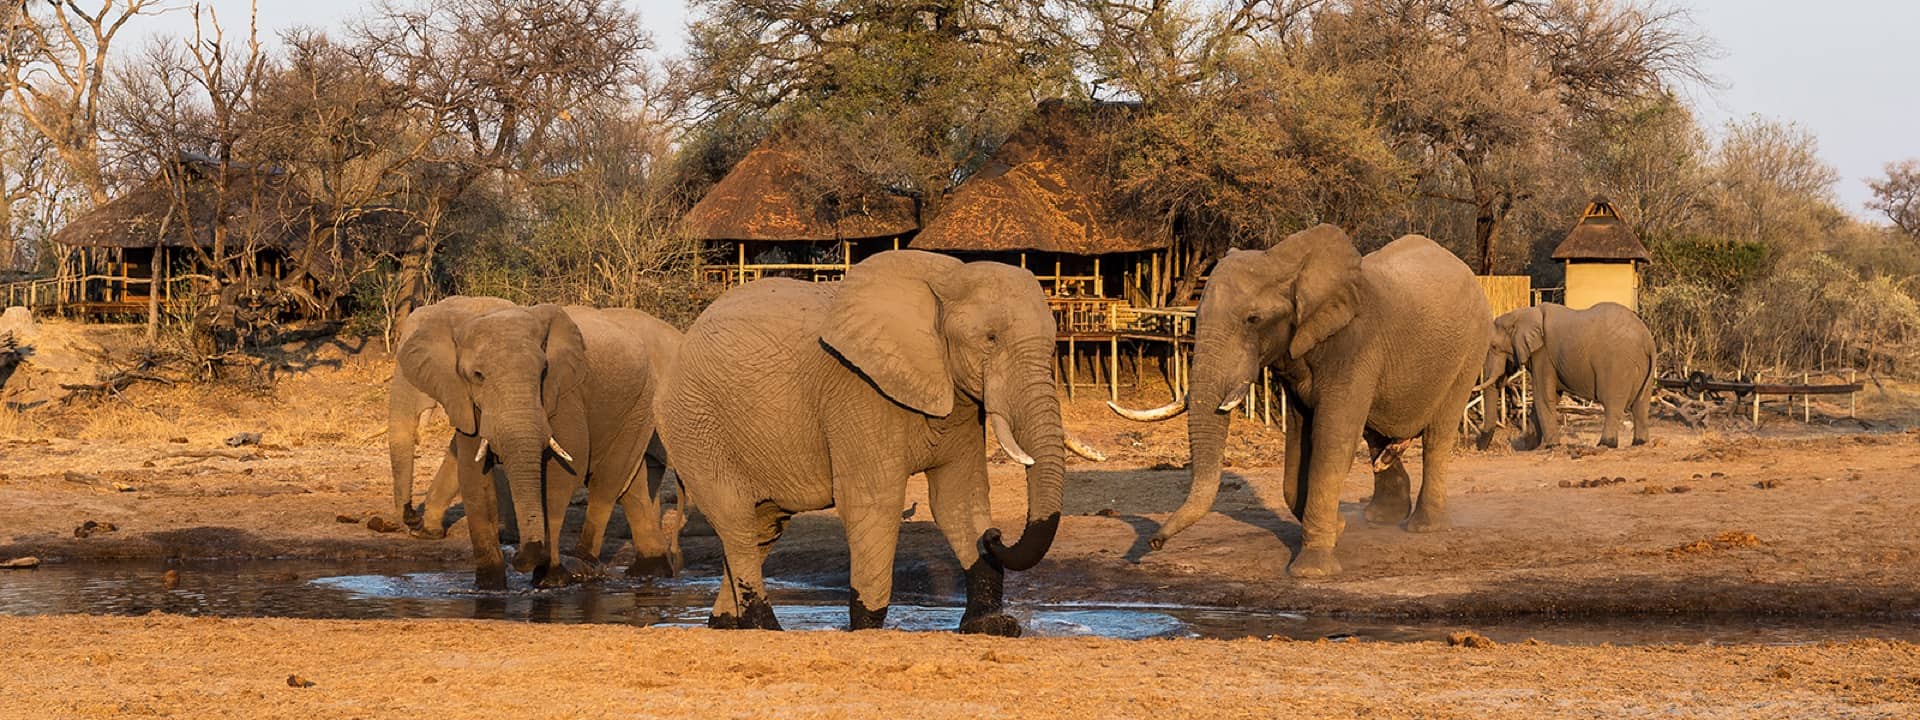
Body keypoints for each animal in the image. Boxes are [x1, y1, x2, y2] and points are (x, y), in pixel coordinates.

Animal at [390, 298, 688, 588]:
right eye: (477, 375)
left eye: (543, 371)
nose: (410, 517)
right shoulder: (467, 400)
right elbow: (472, 476)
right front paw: (489, 587)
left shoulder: (565, 394)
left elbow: (562, 474)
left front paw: (550, 579)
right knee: (632, 486)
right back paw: (649, 571)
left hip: (641, 403)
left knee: (607, 482)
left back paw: (585, 565)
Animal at [655, 250, 1104, 635]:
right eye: (990, 339)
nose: (996, 536)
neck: (946, 279)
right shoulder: (858, 389)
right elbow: (875, 501)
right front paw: (866, 627)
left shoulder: (956, 397)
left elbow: (958, 497)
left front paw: (993, 626)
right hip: (693, 423)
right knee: (737, 522)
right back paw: (766, 626)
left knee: (764, 527)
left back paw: (726, 625)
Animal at [1110, 225, 1491, 578]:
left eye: (1253, 319)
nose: (1154, 543)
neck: (1286, 262)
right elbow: (1298, 445)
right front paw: (1338, 528)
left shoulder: (1355, 346)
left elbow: (1333, 439)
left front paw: (1312, 571)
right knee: (1375, 431)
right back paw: (1381, 517)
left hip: (1472, 348)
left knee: (1438, 434)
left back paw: (1424, 527)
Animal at [1484, 301, 1655, 449]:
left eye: (1493, 346)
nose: (1481, 446)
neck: (1523, 313)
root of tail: (1648, 339)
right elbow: (1550, 397)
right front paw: (1526, 447)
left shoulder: (1543, 355)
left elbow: (1543, 397)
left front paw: (1552, 446)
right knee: (1641, 405)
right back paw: (1639, 443)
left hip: (1617, 365)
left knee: (1613, 404)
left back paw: (1605, 444)